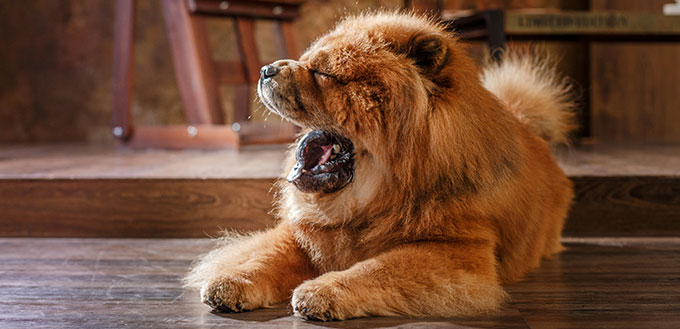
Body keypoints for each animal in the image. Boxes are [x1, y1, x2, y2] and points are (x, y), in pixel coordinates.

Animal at [185, 11, 572, 320]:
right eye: (305, 59)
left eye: (322, 73)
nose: (266, 69)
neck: (377, 199)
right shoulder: (306, 233)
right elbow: (264, 258)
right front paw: (230, 283)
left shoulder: (457, 251)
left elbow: (374, 267)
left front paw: (321, 290)